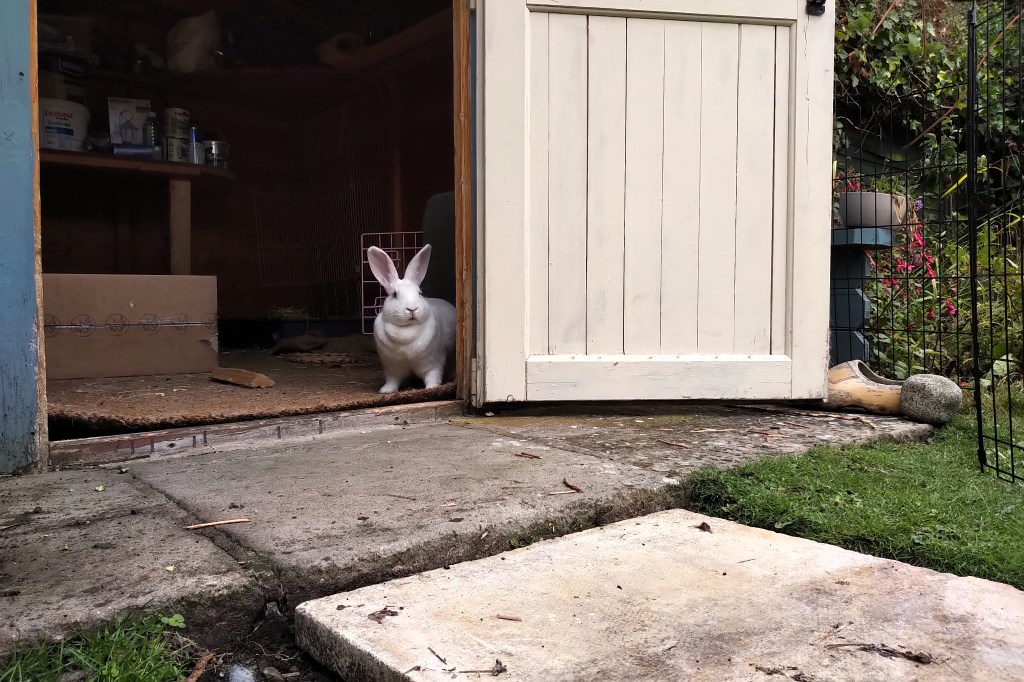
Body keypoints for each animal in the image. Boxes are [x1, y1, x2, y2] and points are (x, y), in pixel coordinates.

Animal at [366, 244, 456, 394]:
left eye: (419, 293)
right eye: (395, 294)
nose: (412, 308)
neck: (406, 332)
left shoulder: (434, 362)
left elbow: (433, 376)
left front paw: (432, 388)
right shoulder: (392, 367)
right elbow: (392, 380)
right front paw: (385, 390)